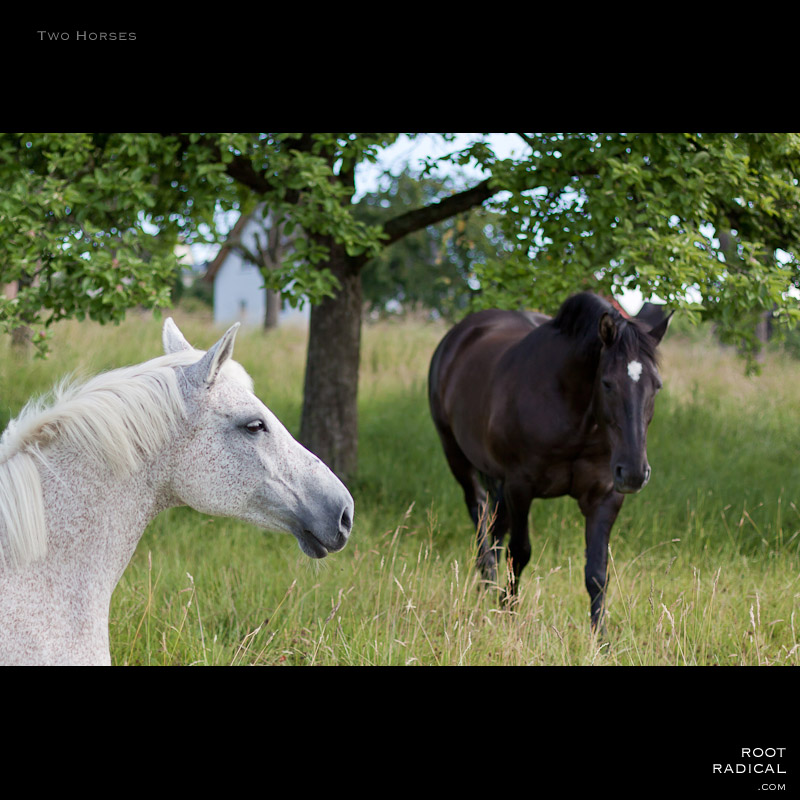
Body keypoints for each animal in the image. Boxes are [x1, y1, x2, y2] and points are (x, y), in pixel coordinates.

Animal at [428, 292, 671, 631]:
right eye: (607, 383)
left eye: (656, 385)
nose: (634, 473)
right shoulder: (520, 487)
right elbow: (520, 553)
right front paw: (508, 613)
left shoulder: (605, 496)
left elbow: (597, 573)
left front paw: (601, 637)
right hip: (456, 455)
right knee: (479, 510)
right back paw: (487, 578)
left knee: (497, 522)